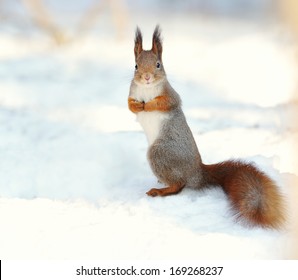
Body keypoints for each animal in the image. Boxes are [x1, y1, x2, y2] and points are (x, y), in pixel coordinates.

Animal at [129, 25, 286, 229]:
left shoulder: (171, 96)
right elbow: (129, 105)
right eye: (136, 66)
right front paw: (137, 107)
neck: (147, 90)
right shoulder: (132, 92)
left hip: (161, 152)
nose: (147, 77)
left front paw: (148, 106)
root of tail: (198, 173)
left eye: (158, 65)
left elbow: (165, 103)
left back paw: (160, 190)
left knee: (179, 186)